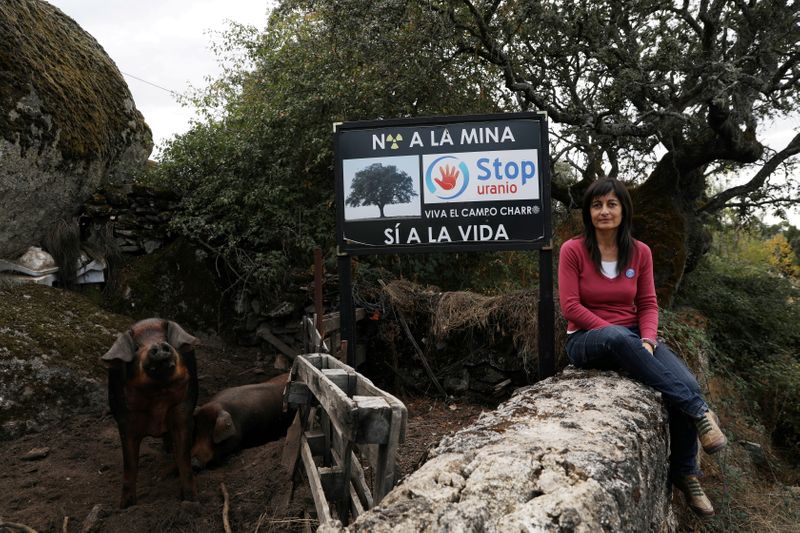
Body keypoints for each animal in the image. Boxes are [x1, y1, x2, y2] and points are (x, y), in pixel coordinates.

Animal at [102, 316, 199, 508]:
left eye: (166, 339)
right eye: (136, 347)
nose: (159, 344)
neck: (158, 395)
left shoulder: (183, 413)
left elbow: (184, 458)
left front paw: (190, 500)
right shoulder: (125, 422)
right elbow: (130, 465)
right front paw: (125, 506)